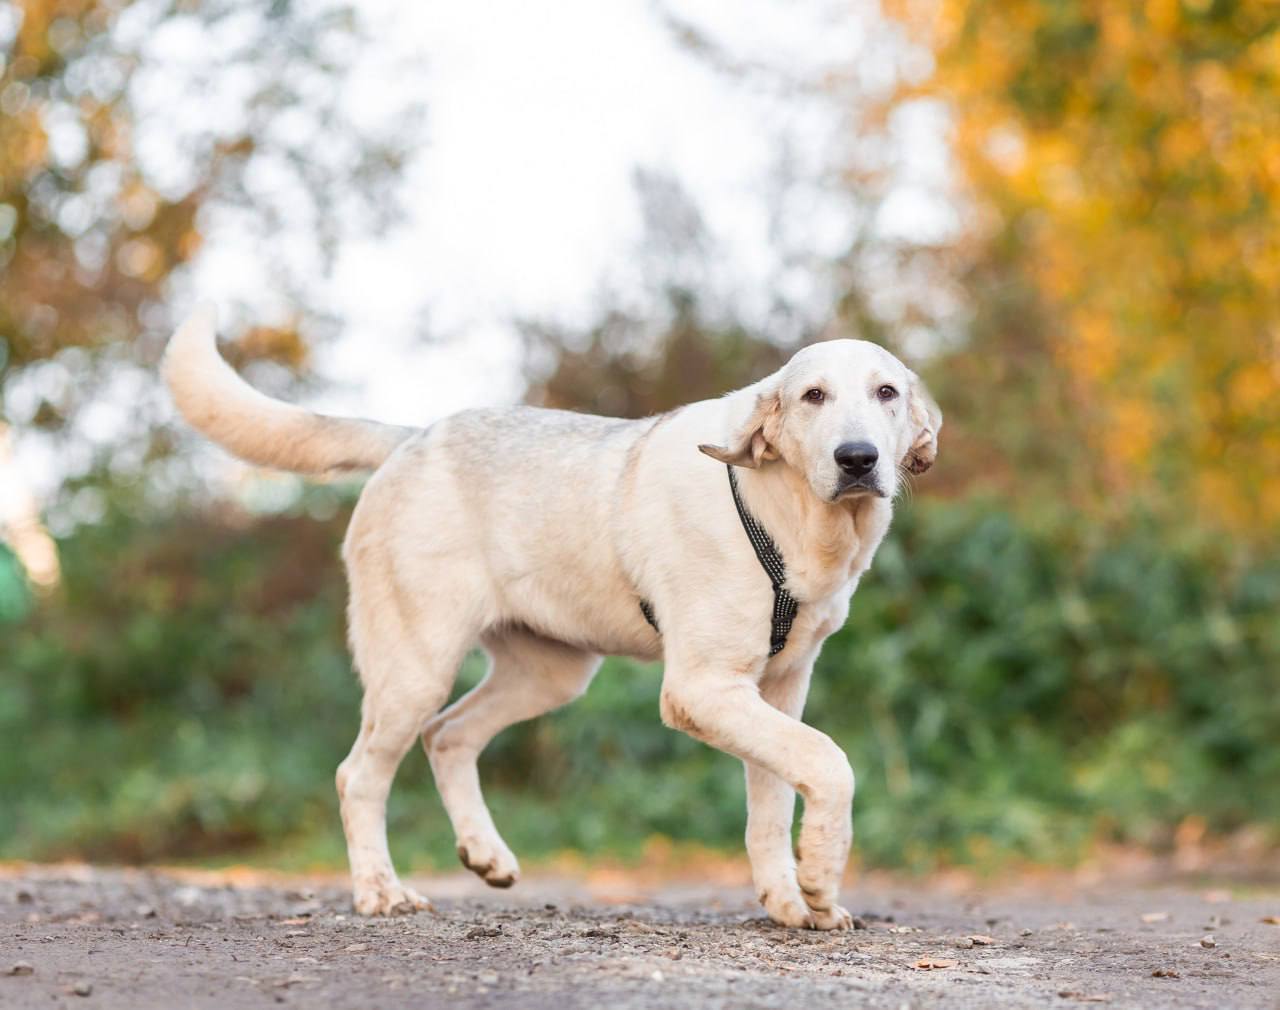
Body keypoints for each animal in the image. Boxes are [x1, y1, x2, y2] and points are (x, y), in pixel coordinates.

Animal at [162, 305, 942, 931]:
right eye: (813, 396)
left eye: (887, 393)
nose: (858, 458)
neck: (788, 518)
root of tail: (412, 437)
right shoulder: (701, 689)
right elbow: (829, 762)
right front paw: (820, 877)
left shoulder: (777, 690)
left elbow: (773, 801)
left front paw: (789, 899)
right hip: (416, 668)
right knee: (360, 775)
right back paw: (381, 892)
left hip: (549, 674)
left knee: (448, 736)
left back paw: (484, 853)